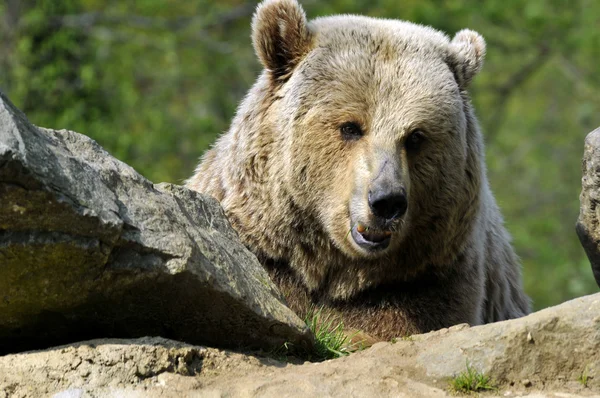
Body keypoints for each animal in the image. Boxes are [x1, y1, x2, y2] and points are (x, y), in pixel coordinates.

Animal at [188, 0, 528, 340]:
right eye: (350, 127)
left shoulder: (435, 276)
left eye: (415, 136)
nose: (386, 201)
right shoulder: (266, 254)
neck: (341, 271)